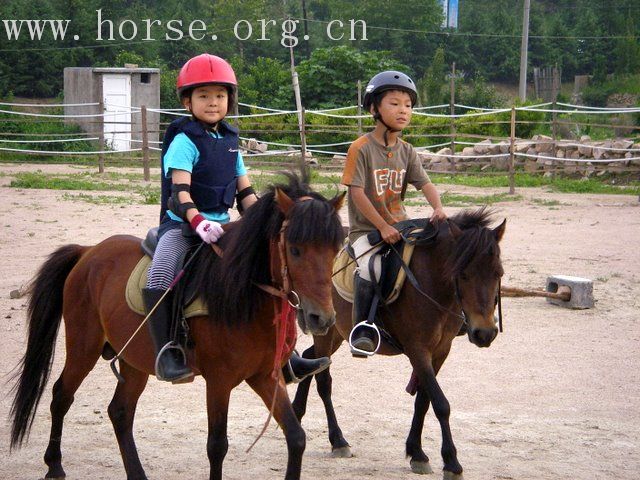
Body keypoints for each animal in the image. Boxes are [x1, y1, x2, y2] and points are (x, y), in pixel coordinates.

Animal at [8, 173, 344, 480]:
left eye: (334, 249)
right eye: (295, 249)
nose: (322, 318)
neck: (242, 292)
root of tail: (88, 251)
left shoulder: (265, 376)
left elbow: (296, 437)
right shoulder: (219, 381)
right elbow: (217, 446)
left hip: (134, 360)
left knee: (120, 411)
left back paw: (136, 475)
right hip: (83, 347)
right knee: (61, 395)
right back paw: (54, 466)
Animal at [292, 209, 508, 480]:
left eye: (498, 273)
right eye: (463, 274)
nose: (485, 333)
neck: (431, 285)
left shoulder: (440, 351)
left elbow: (423, 401)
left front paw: (416, 452)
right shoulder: (418, 350)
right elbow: (441, 404)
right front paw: (451, 462)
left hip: (336, 332)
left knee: (311, 359)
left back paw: (297, 412)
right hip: (325, 329)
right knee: (323, 381)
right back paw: (338, 440)